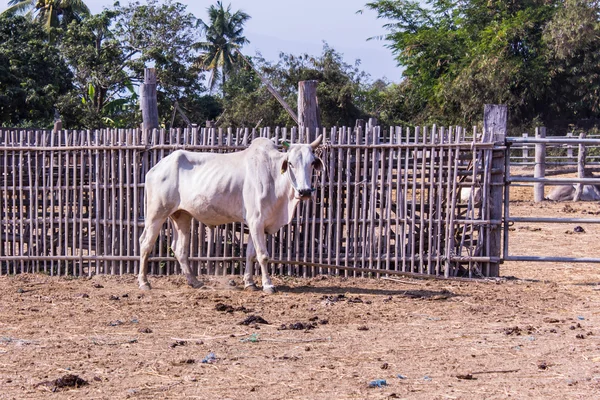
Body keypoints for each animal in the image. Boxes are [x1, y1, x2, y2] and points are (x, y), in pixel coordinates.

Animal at [138, 135, 324, 294]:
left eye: (311, 163)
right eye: (291, 163)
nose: (305, 191)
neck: (274, 175)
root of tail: (155, 168)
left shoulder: (257, 225)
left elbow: (251, 254)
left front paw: (250, 283)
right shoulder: (256, 220)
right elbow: (263, 255)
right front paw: (268, 285)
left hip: (181, 215)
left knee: (179, 249)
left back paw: (195, 281)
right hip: (156, 214)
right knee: (145, 243)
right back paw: (144, 282)